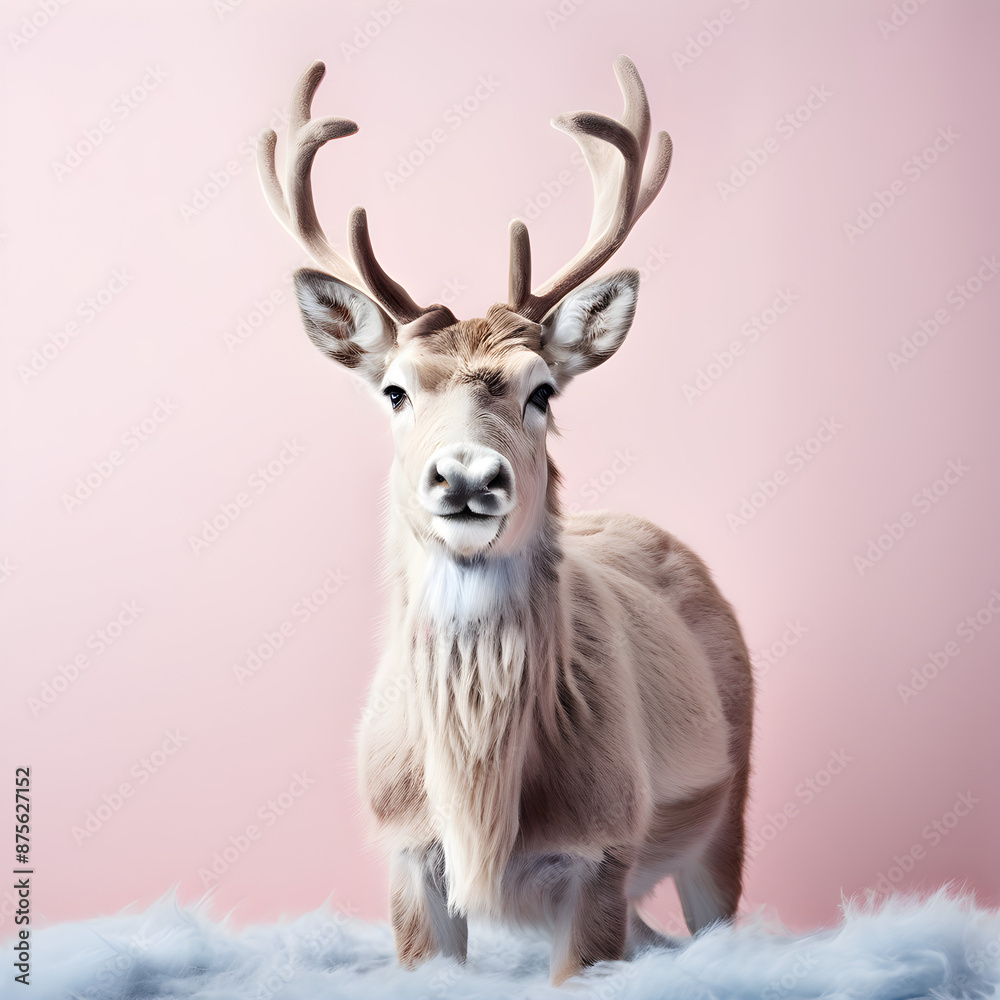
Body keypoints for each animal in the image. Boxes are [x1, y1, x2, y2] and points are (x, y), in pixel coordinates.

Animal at [258, 55, 754, 986]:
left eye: (542, 391)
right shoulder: (403, 850)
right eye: (394, 390)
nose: (466, 476)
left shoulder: (604, 851)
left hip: (729, 806)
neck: (475, 799)